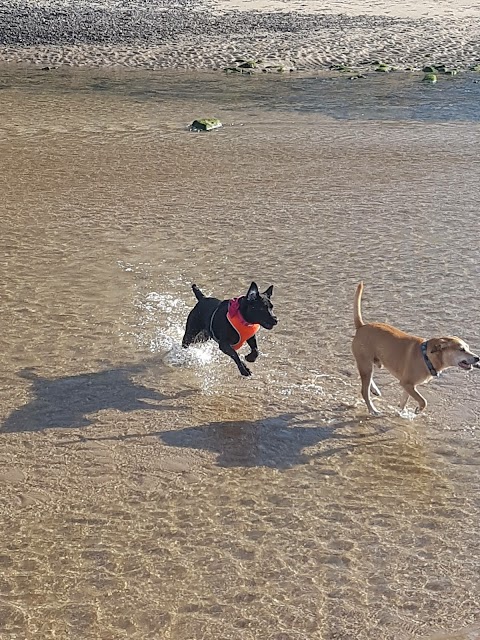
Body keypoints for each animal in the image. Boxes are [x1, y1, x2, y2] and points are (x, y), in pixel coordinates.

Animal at [350, 282, 478, 416]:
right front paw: (417, 410)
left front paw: (401, 412)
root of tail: (361, 326)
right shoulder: (406, 383)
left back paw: (374, 390)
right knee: (364, 391)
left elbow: (404, 401)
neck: (426, 357)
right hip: (365, 364)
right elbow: (423, 401)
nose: (477, 358)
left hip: (371, 363)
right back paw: (373, 410)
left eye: (468, 348)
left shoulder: (408, 385)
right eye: (461, 349)